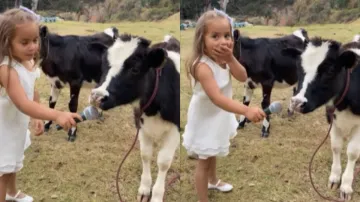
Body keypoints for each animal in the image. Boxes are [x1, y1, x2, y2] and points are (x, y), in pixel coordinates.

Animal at [90, 34, 180, 201]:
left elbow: (164, 162)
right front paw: (144, 188)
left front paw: (157, 195)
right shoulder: (141, 123)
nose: (97, 96)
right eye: (103, 65)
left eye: (135, 69)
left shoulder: (175, 129)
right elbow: (145, 154)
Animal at [282, 36, 360, 200]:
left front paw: (346, 186)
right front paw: (335, 177)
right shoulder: (332, 118)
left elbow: (352, 152)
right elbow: (336, 146)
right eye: (298, 67)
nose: (297, 102)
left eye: (330, 70)